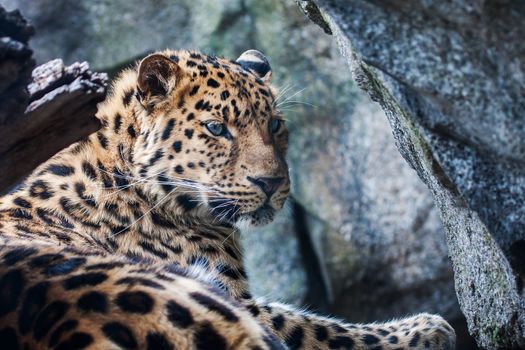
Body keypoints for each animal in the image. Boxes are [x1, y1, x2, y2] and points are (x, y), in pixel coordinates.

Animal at [0, 47, 454, 348]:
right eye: (217, 128)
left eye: (274, 125)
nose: (271, 182)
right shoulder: (241, 302)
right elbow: (316, 326)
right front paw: (427, 329)